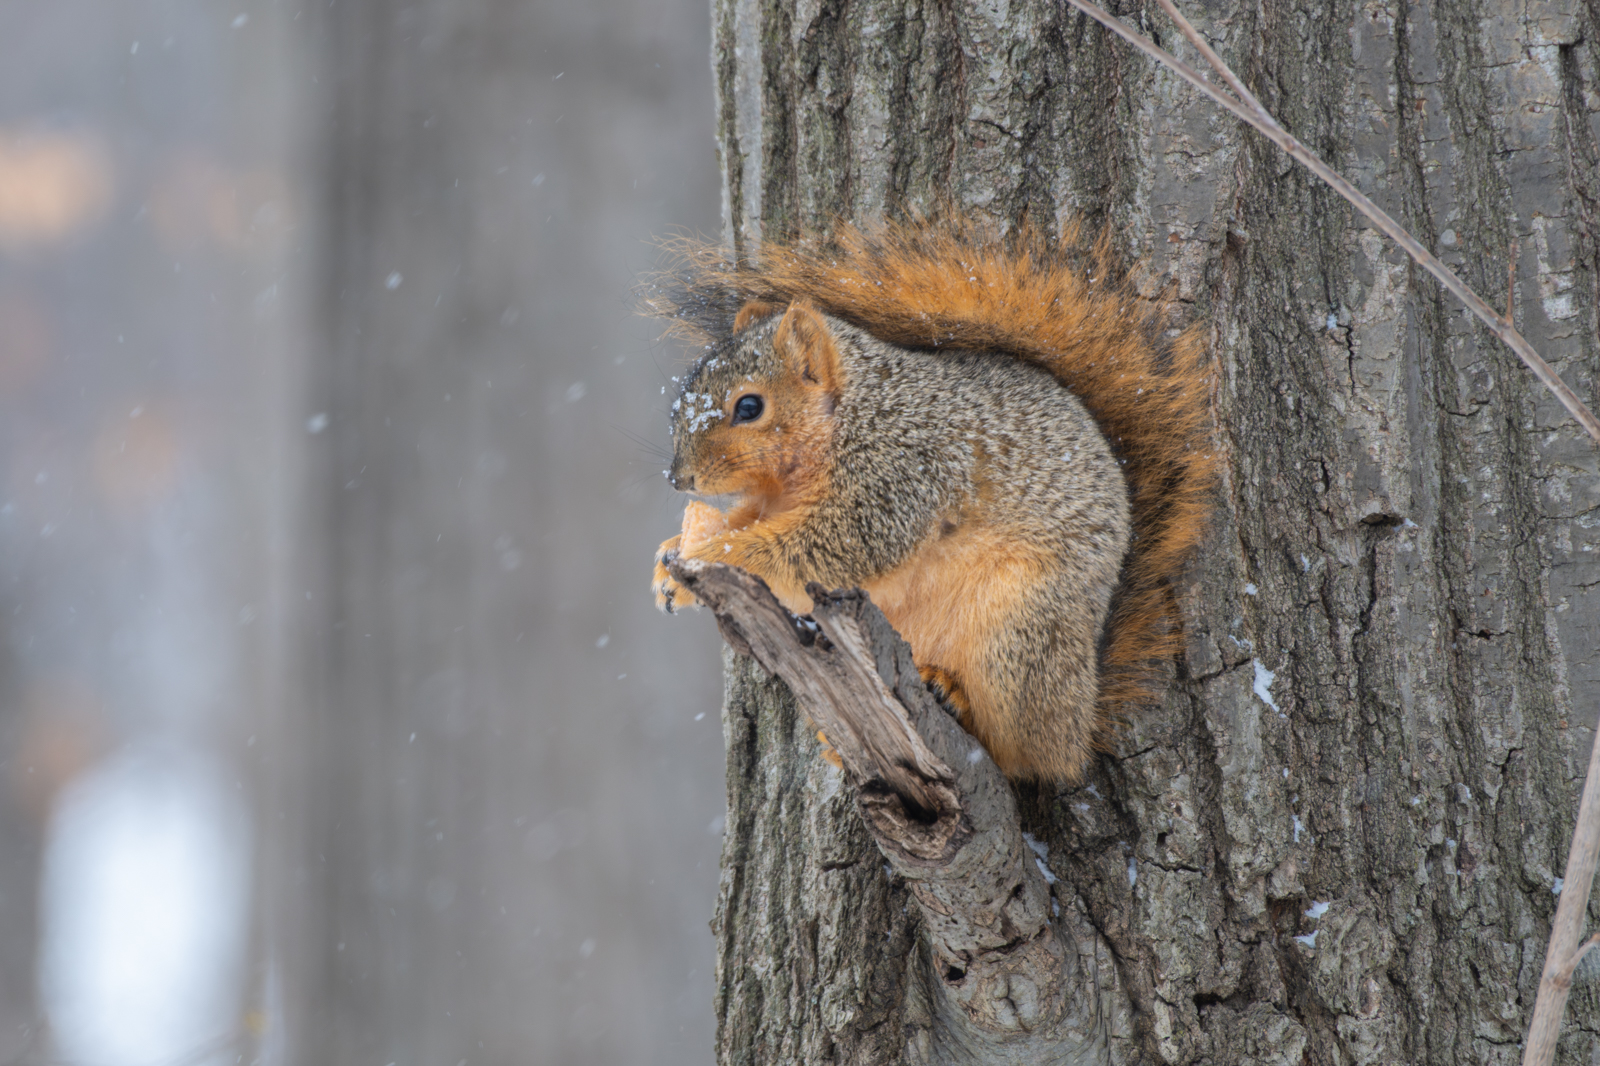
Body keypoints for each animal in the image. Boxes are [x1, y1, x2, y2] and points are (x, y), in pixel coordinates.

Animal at [646, 218, 1216, 783]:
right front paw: (668, 561)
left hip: (1018, 631)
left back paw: (960, 700)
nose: (677, 479)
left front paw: (708, 558)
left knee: (1027, 756)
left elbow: (825, 547)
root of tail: (1083, 711)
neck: (845, 418)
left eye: (749, 407)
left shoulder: (904, 473)